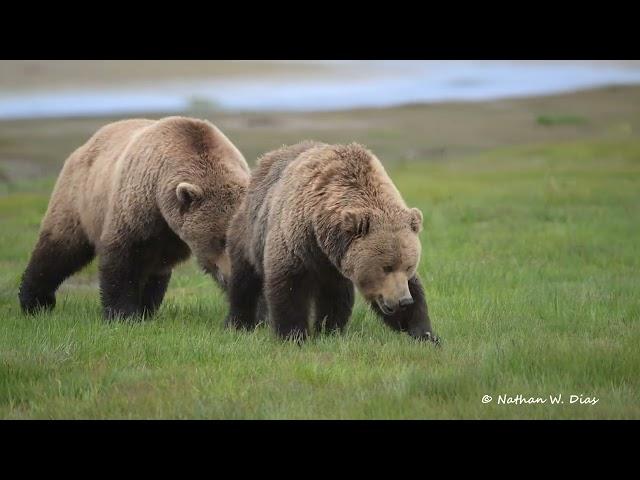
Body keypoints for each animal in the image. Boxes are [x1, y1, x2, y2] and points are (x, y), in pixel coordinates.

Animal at [222, 141, 438, 344]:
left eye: (408, 266)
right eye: (386, 267)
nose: (403, 301)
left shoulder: (337, 262)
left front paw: (425, 334)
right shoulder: (296, 242)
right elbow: (289, 287)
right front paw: (294, 335)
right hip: (249, 232)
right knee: (245, 280)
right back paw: (239, 322)